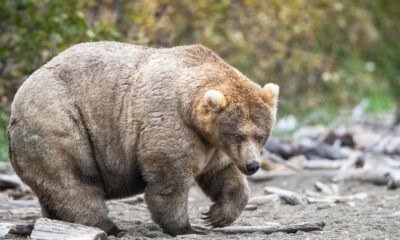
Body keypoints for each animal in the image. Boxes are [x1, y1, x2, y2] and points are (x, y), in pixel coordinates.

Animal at [7, 41, 280, 236]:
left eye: (261, 135)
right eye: (239, 134)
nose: (253, 165)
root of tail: (17, 100)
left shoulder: (213, 145)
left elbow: (222, 174)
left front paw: (217, 215)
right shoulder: (171, 123)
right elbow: (170, 178)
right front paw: (185, 226)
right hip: (59, 122)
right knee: (74, 180)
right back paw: (108, 226)